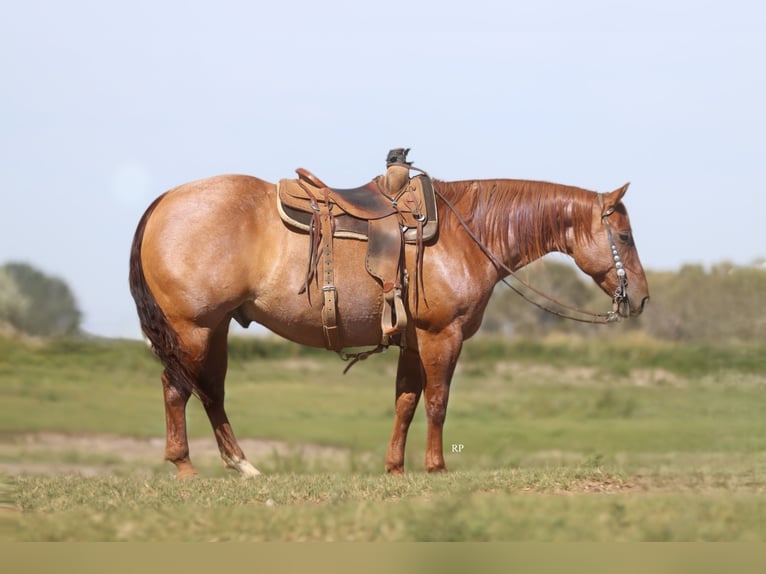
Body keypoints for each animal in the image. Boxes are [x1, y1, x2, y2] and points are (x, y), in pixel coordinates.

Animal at [129, 170, 649, 478]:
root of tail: (165, 200)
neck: (464, 235)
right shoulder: (443, 336)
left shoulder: (414, 342)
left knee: (210, 392)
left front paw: (395, 469)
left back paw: (242, 466)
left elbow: (406, 402)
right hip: (191, 330)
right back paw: (185, 468)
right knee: (177, 389)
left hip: (213, 331)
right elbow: (437, 402)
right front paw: (436, 468)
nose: (641, 298)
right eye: (624, 235)